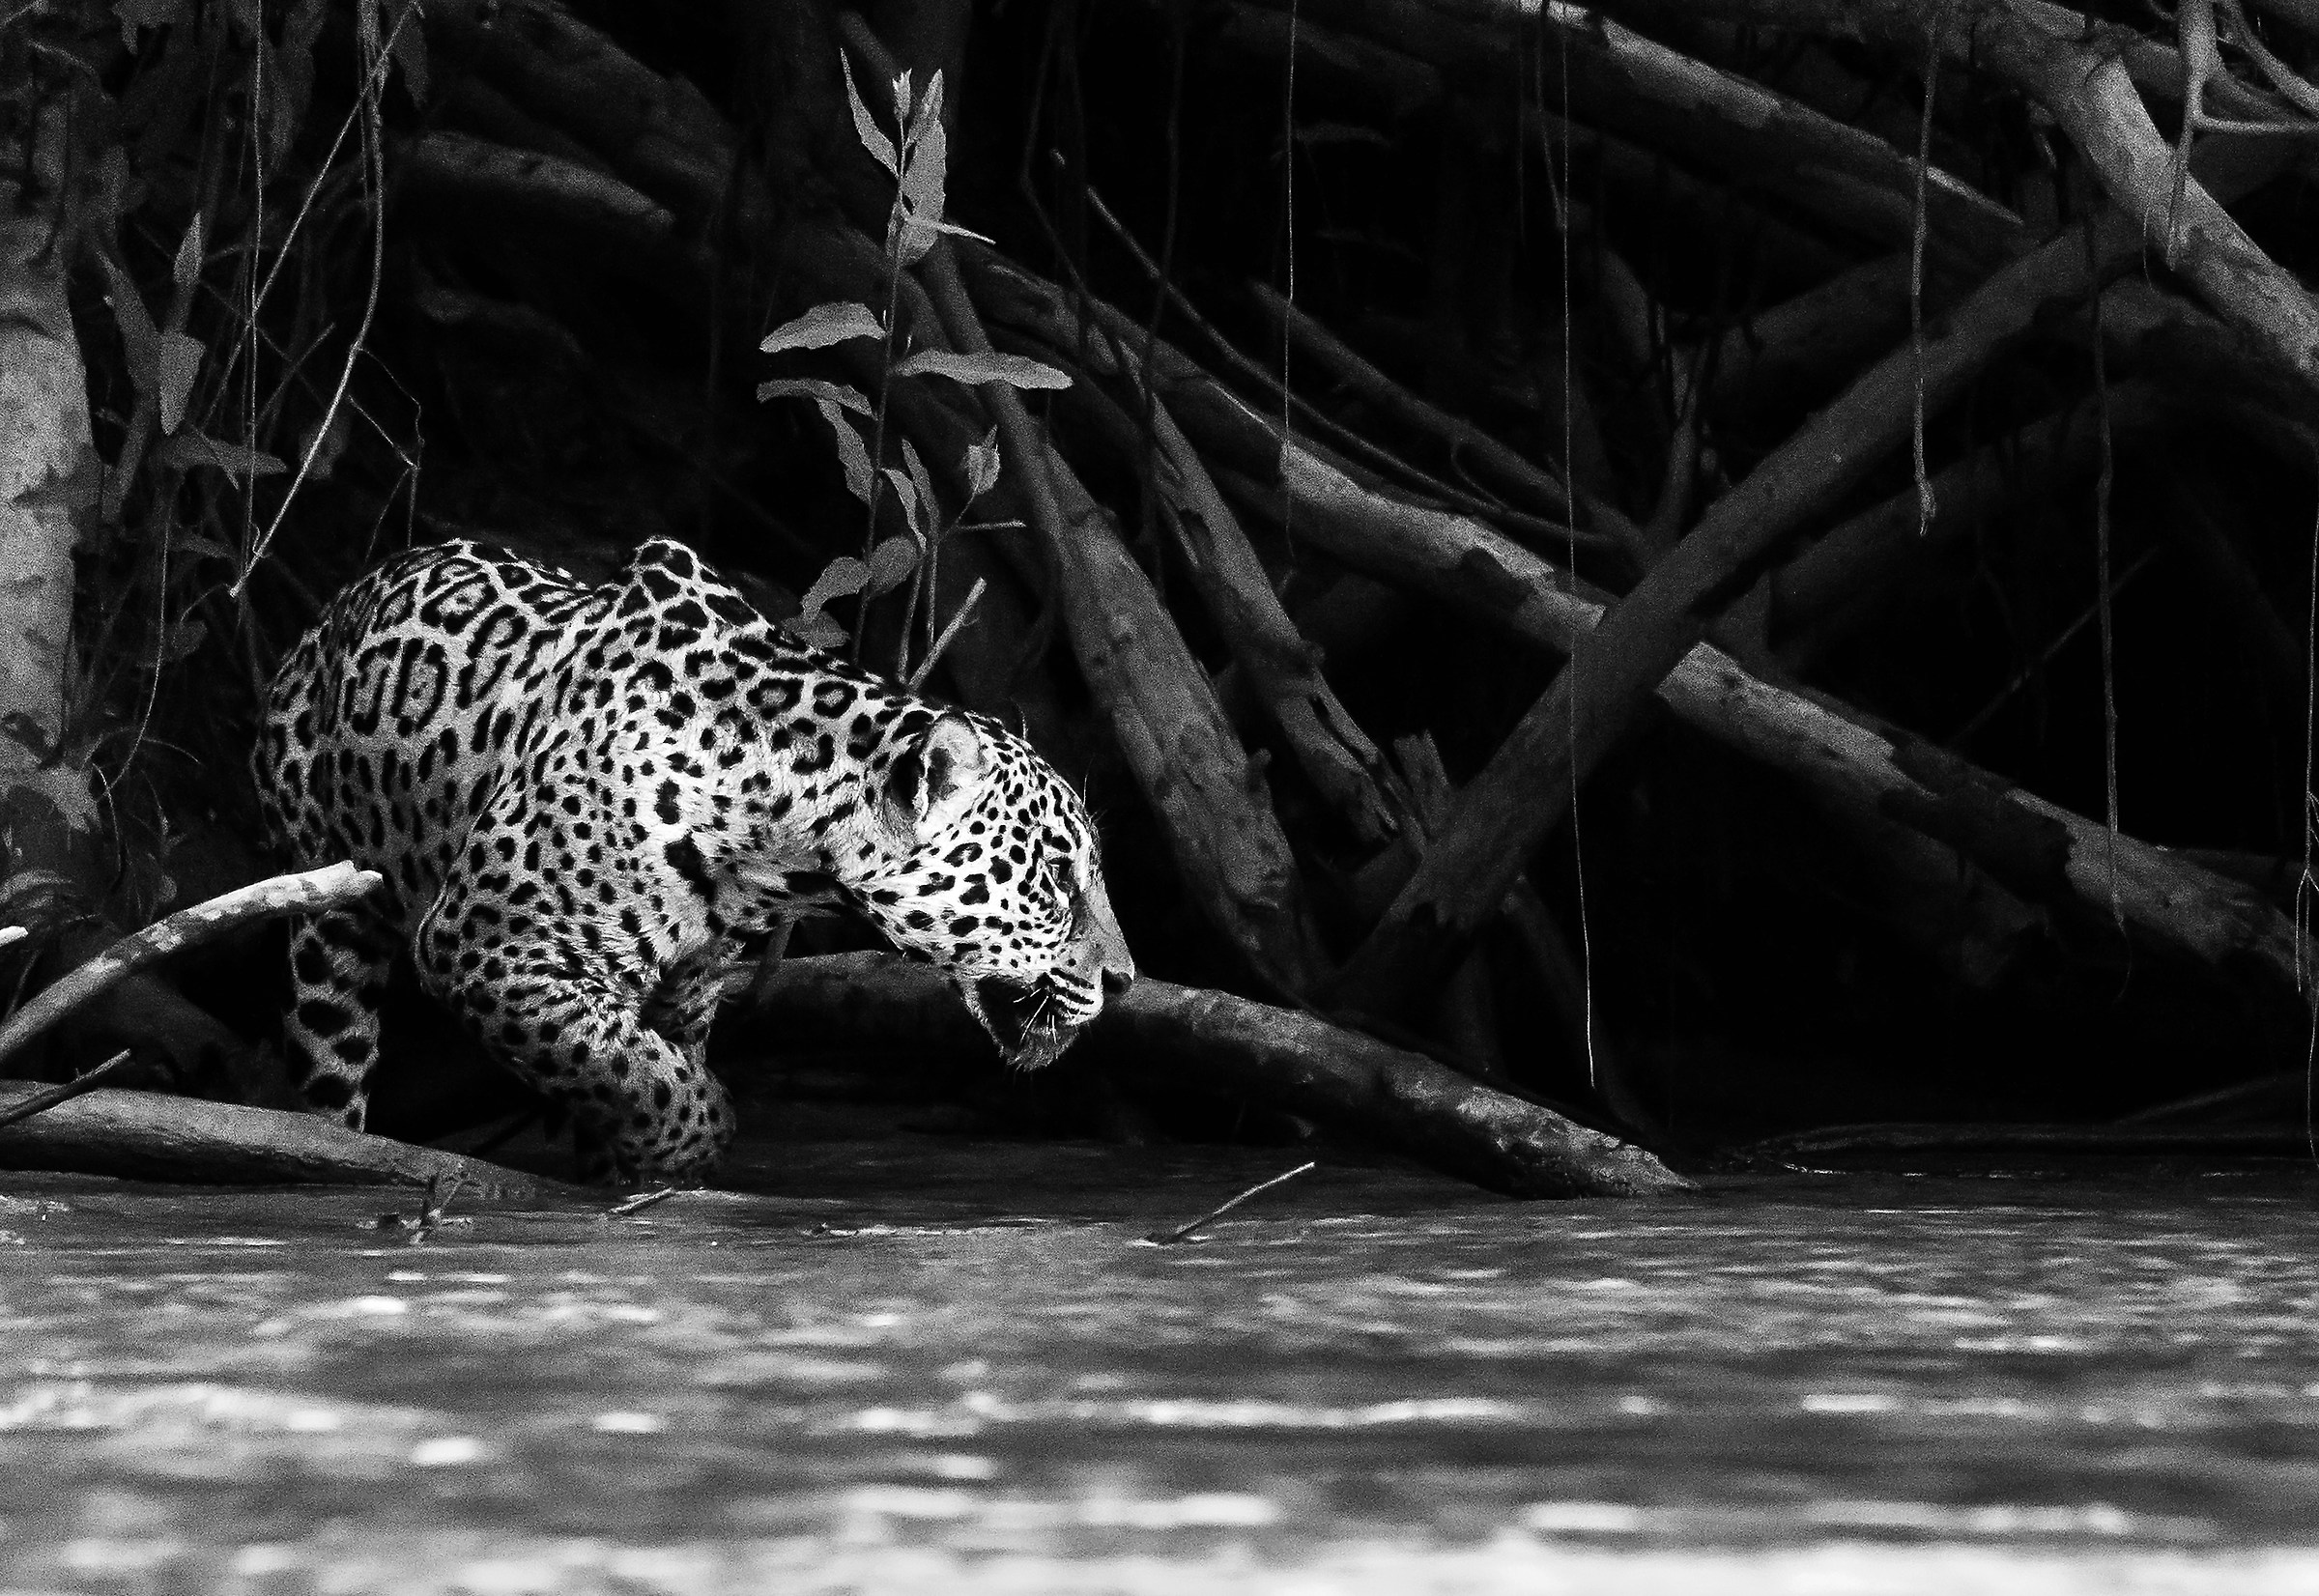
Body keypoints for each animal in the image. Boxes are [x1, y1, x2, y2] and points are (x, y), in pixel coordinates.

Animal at [251, 536, 1135, 1181]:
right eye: (1057, 878)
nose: (1123, 982)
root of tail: (331, 614)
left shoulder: (692, 982)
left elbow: (637, 1067)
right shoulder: (486, 943)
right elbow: (640, 1073)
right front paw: (692, 1142)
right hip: (328, 915)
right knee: (331, 1056)